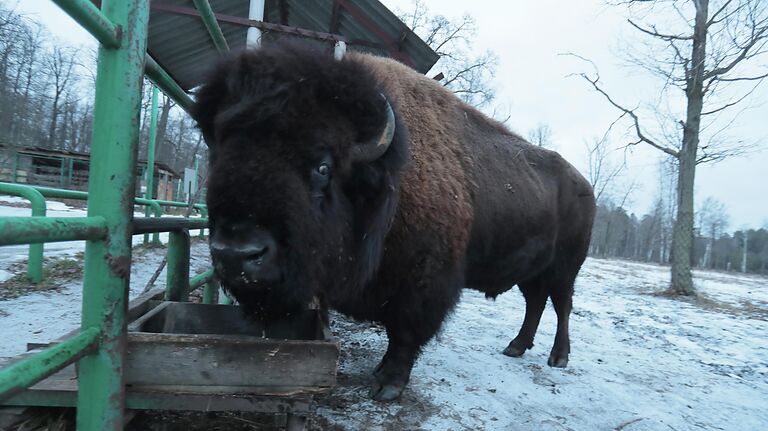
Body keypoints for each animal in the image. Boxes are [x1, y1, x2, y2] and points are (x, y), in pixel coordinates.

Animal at [192, 43, 592, 402]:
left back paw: (558, 357)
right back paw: (516, 346)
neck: (385, 178)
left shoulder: (423, 284)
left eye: (323, 166)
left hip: (565, 269)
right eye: (221, 156)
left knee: (561, 306)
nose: (235, 254)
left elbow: (405, 333)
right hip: (533, 272)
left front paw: (387, 385)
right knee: (535, 303)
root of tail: (585, 185)